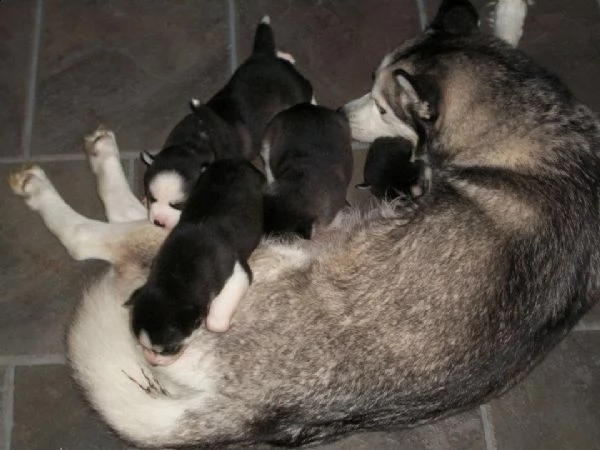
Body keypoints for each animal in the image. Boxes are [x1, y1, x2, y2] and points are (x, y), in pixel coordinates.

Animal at [126, 158, 264, 366]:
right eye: (142, 345)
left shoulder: (238, 273)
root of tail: (238, 161)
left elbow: (215, 323)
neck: (175, 278)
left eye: (169, 349)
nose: (151, 362)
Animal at [139, 15, 312, 230]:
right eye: (152, 197)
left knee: (309, 92)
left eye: (178, 205)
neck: (192, 144)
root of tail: (263, 56)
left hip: (297, 90)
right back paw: (284, 55)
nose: (158, 223)